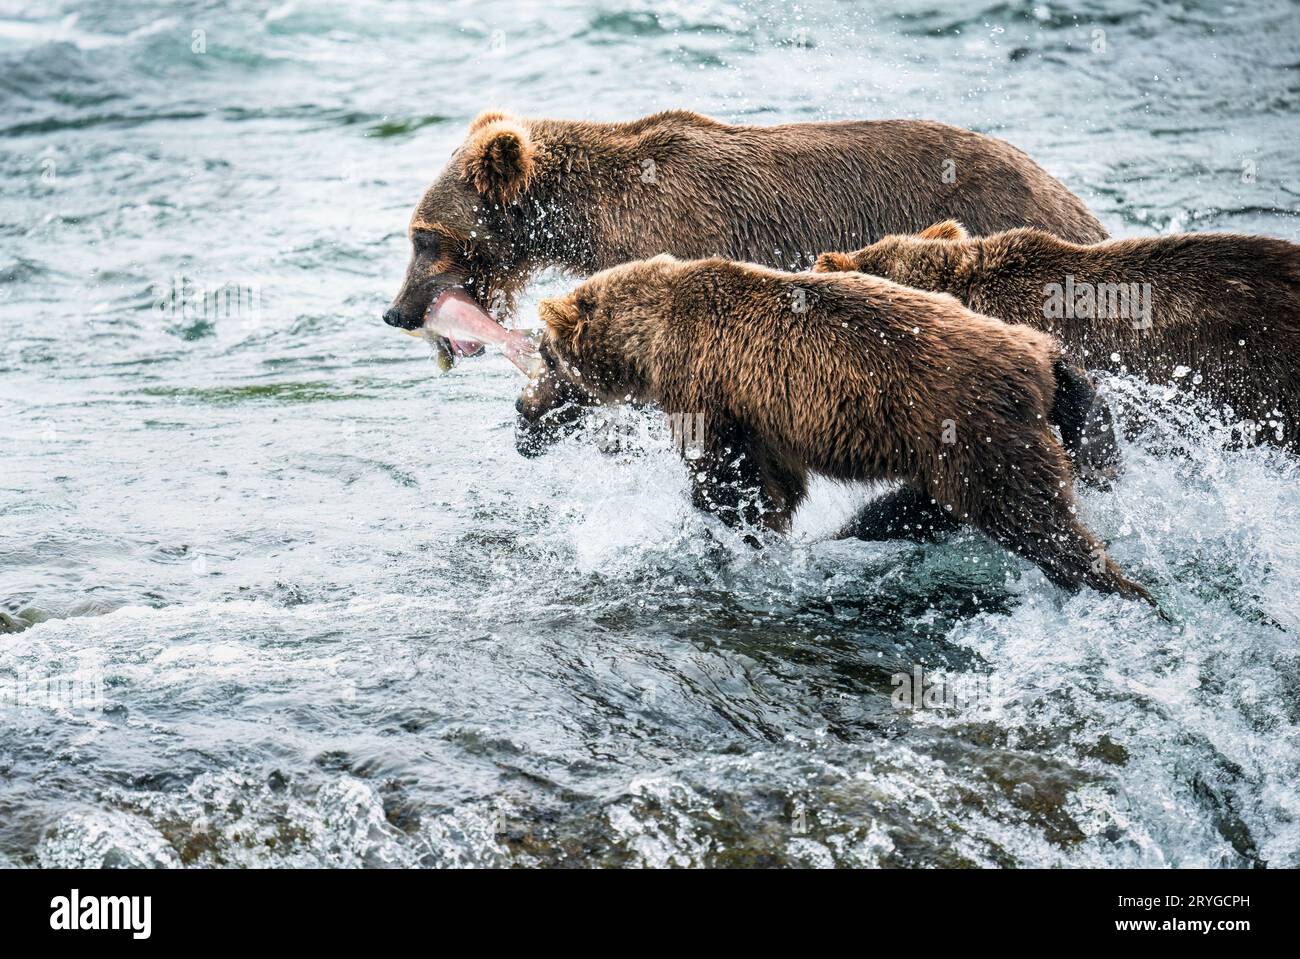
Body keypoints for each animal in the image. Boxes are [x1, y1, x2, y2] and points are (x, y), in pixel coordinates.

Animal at [514, 255, 1156, 607]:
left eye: (545, 355)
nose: (522, 416)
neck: (649, 343)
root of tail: (1043, 358)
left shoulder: (711, 393)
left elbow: (731, 482)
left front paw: (730, 534)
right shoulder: (765, 417)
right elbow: (777, 484)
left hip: (974, 431)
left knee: (1033, 516)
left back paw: (1120, 589)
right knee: (931, 506)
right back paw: (859, 530)